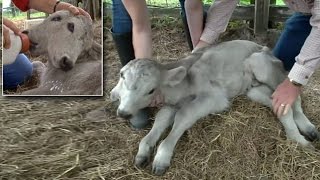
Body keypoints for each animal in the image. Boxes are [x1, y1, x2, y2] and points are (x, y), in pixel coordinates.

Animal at [110, 40, 320, 175]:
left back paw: (301, 138)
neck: (182, 88)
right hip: (254, 90)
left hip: (262, 65)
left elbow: (184, 116)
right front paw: (143, 153)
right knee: (282, 104)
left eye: (151, 90)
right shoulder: (171, 105)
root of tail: (266, 49)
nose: (123, 113)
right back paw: (308, 130)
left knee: (291, 101)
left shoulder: (214, 98)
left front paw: (161, 158)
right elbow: (160, 122)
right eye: (122, 75)